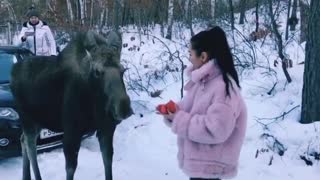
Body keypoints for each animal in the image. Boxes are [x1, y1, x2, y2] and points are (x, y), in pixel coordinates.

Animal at [9, 30, 132, 179]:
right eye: (97, 71)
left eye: (123, 70)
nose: (123, 107)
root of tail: (13, 71)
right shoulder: (71, 132)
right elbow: (70, 168)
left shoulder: (107, 129)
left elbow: (108, 162)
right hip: (27, 118)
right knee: (30, 143)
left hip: (39, 120)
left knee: (22, 140)